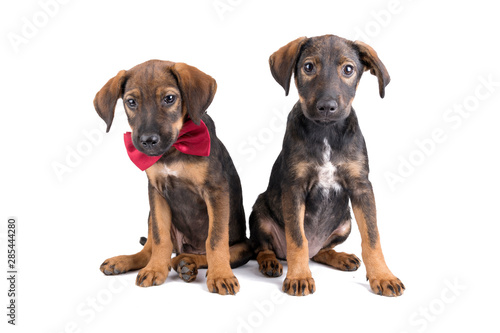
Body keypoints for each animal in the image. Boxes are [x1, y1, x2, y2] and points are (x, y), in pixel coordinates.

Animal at [92, 59, 252, 294]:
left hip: (243, 247)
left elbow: (215, 240)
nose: (148, 141)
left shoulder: (216, 190)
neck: (174, 150)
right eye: (131, 102)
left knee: (204, 253)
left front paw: (221, 275)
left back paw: (187, 263)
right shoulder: (156, 192)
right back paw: (127, 261)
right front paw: (155, 269)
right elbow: (160, 239)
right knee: (150, 249)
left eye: (169, 99)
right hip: (151, 214)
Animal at [248, 35, 404, 296]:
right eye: (308, 67)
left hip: (345, 222)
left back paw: (339, 257)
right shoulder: (294, 187)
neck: (326, 132)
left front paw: (383, 277)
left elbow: (372, 238)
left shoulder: (361, 187)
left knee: (320, 251)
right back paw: (270, 262)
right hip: (260, 211)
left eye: (348, 69)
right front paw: (299, 276)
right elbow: (297, 239)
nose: (327, 106)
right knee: (264, 247)